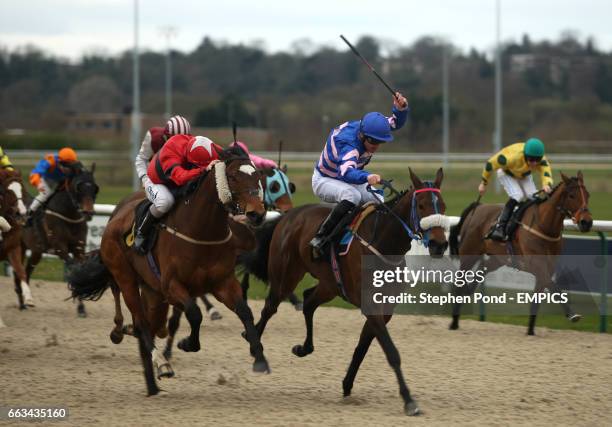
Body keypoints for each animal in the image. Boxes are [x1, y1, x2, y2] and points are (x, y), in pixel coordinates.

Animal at [19, 164, 99, 318]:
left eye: (95, 188)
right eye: (78, 187)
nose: (88, 212)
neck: (69, 215)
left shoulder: (79, 249)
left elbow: (81, 270)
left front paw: (81, 308)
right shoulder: (59, 247)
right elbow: (74, 269)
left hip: (36, 251)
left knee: (26, 270)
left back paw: (25, 302)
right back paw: (22, 302)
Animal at [68, 147, 270, 398]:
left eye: (258, 176)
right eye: (232, 177)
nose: (257, 214)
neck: (201, 230)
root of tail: (114, 218)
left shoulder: (222, 283)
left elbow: (245, 312)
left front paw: (259, 357)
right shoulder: (172, 285)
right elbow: (194, 313)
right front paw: (188, 343)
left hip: (152, 291)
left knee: (150, 325)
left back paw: (148, 375)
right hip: (126, 278)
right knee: (141, 322)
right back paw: (160, 364)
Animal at [246, 169, 448, 416]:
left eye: (443, 206)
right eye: (421, 205)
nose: (439, 244)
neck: (383, 242)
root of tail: (288, 216)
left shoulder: (384, 309)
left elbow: (362, 348)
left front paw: (347, 384)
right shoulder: (371, 306)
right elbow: (392, 352)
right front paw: (409, 400)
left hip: (329, 284)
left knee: (308, 301)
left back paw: (304, 348)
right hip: (285, 276)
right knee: (270, 308)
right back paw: (255, 349)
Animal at [450, 172, 592, 336]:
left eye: (587, 194)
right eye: (571, 195)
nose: (587, 222)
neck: (544, 226)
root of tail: (478, 206)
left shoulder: (548, 266)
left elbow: (538, 297)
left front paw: (530, 331)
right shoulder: (536, 265)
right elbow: (554, 287)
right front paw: (572, 314)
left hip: (497, 259)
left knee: (480, 272)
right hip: (469, 254)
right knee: (459, 282)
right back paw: (454, 322)